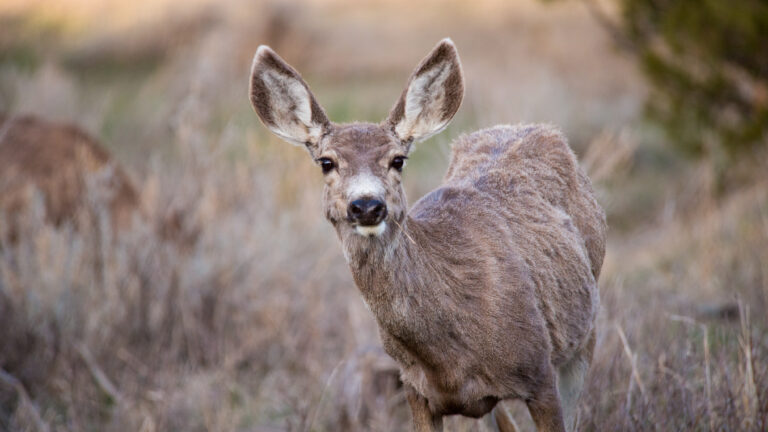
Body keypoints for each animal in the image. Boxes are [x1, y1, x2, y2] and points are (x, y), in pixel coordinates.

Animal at [248, 38, 606, 432]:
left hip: (586, 328)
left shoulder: (538, 371)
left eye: (398, 160)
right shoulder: (415, 389)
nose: (367, 205)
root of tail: (535, 128)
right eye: (327, 162)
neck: (446, 355)